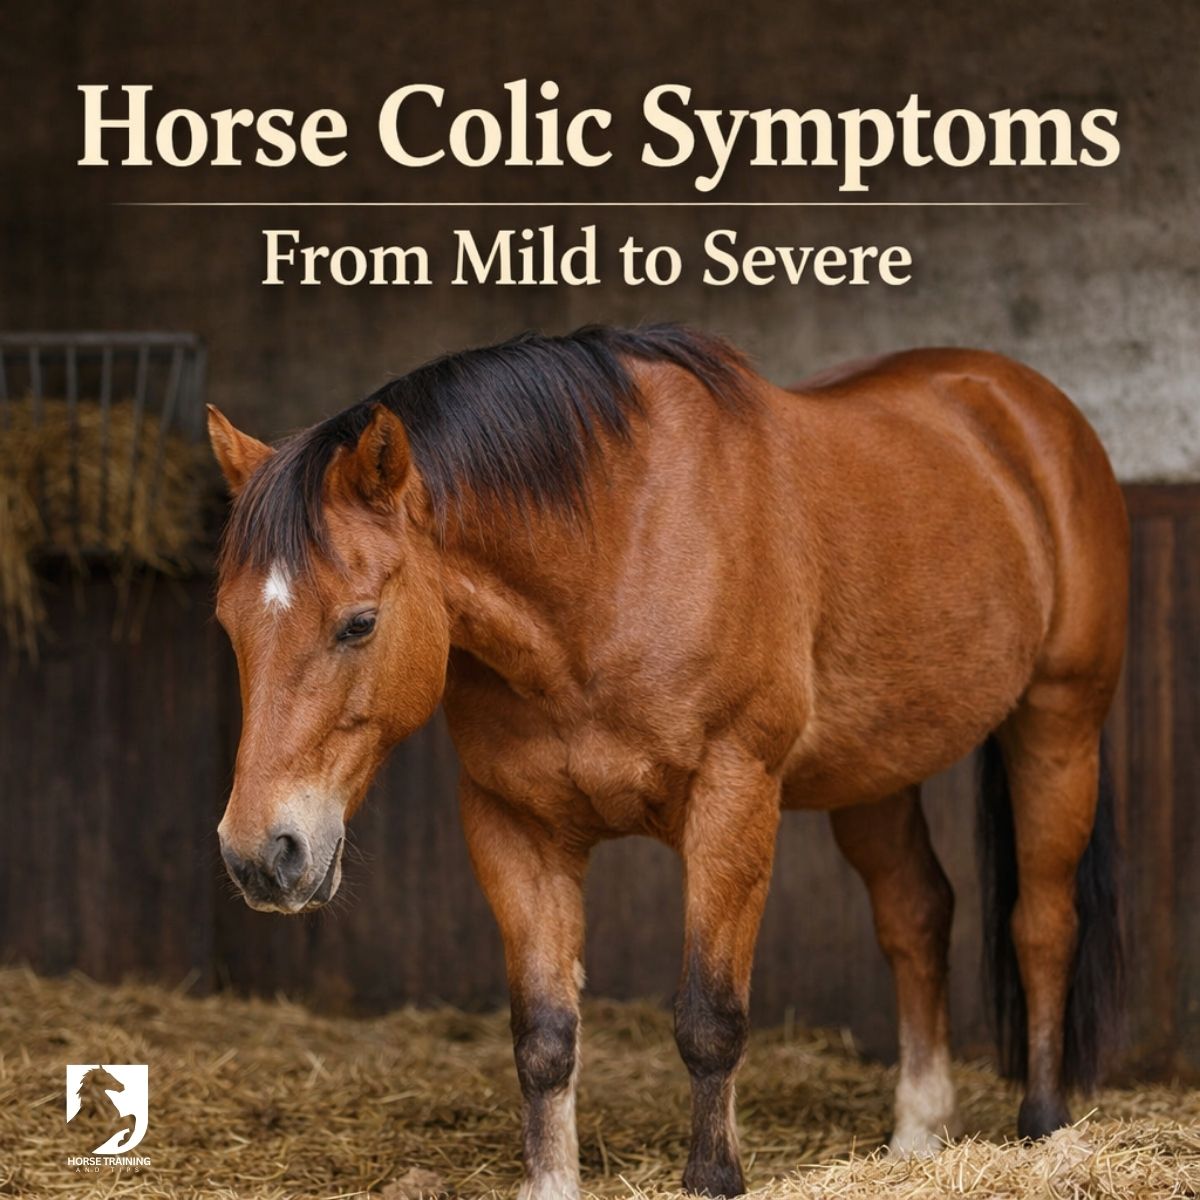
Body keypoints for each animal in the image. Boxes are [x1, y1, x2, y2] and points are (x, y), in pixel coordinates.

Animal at [207, 325, 1127, 1199]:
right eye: (229, 624)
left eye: (359, 622)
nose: (261, 856)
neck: (612, 556)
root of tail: (1024, 405)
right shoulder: (512, 824)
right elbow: (544, 1034)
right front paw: (549, 1182)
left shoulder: (732, 798)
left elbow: (709, 1019)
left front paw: (714, 1178)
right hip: (877, 769)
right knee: (917, 914)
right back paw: (917, 1135)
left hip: (1058, 724)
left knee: (1042, 921)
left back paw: (1045, 1124)